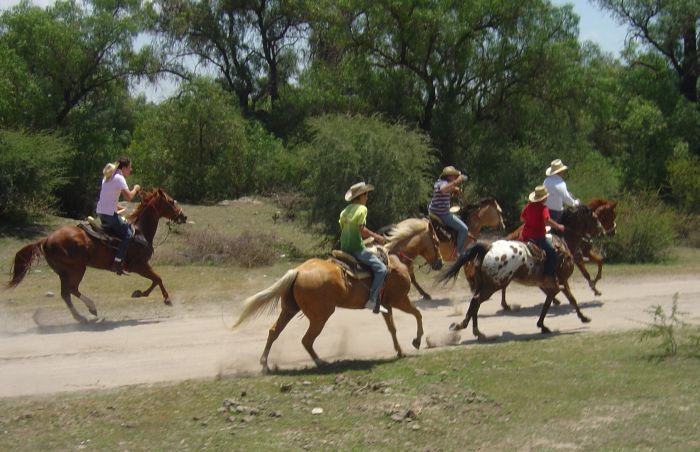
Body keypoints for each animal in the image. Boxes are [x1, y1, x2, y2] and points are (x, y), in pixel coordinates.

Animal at [6, 189, 187, 324]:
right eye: (171, 201)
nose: (183, 216)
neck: (140, 230)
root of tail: (47, 239)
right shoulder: (139, 265)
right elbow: (158, 278)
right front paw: (162, 298)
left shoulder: (140, 266)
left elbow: (156, 279)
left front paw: (144, 294)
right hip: (76, 269)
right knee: (70, 291)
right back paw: (88, 312)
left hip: (65, 272)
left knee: (68, 293)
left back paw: (85, 314)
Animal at [235, 219, 442, 374]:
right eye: (437, 242)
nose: (439, 263)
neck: (396, 258)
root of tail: (298, 271)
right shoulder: (399, 300)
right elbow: (418, 314)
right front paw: (416, 341)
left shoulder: (386, 305)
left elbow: (392, 328)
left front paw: (399, 351)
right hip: (320, 316)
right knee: (306, 340)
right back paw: (320, 362)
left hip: (290, 310)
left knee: (274, 332)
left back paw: (265, 365)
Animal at [438, 205, 600, 340]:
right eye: (595, 218)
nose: (602, 231)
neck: (562, 241)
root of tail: (489, 247)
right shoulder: (562, 281)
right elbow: (571, 299)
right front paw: (583, 317)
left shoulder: (553, 284)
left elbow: (551, 301)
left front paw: (542, 325)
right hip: (492, 286)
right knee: (476, 301)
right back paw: (472, 329)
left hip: (482, 284)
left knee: (474, 303)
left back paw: (472, 330)